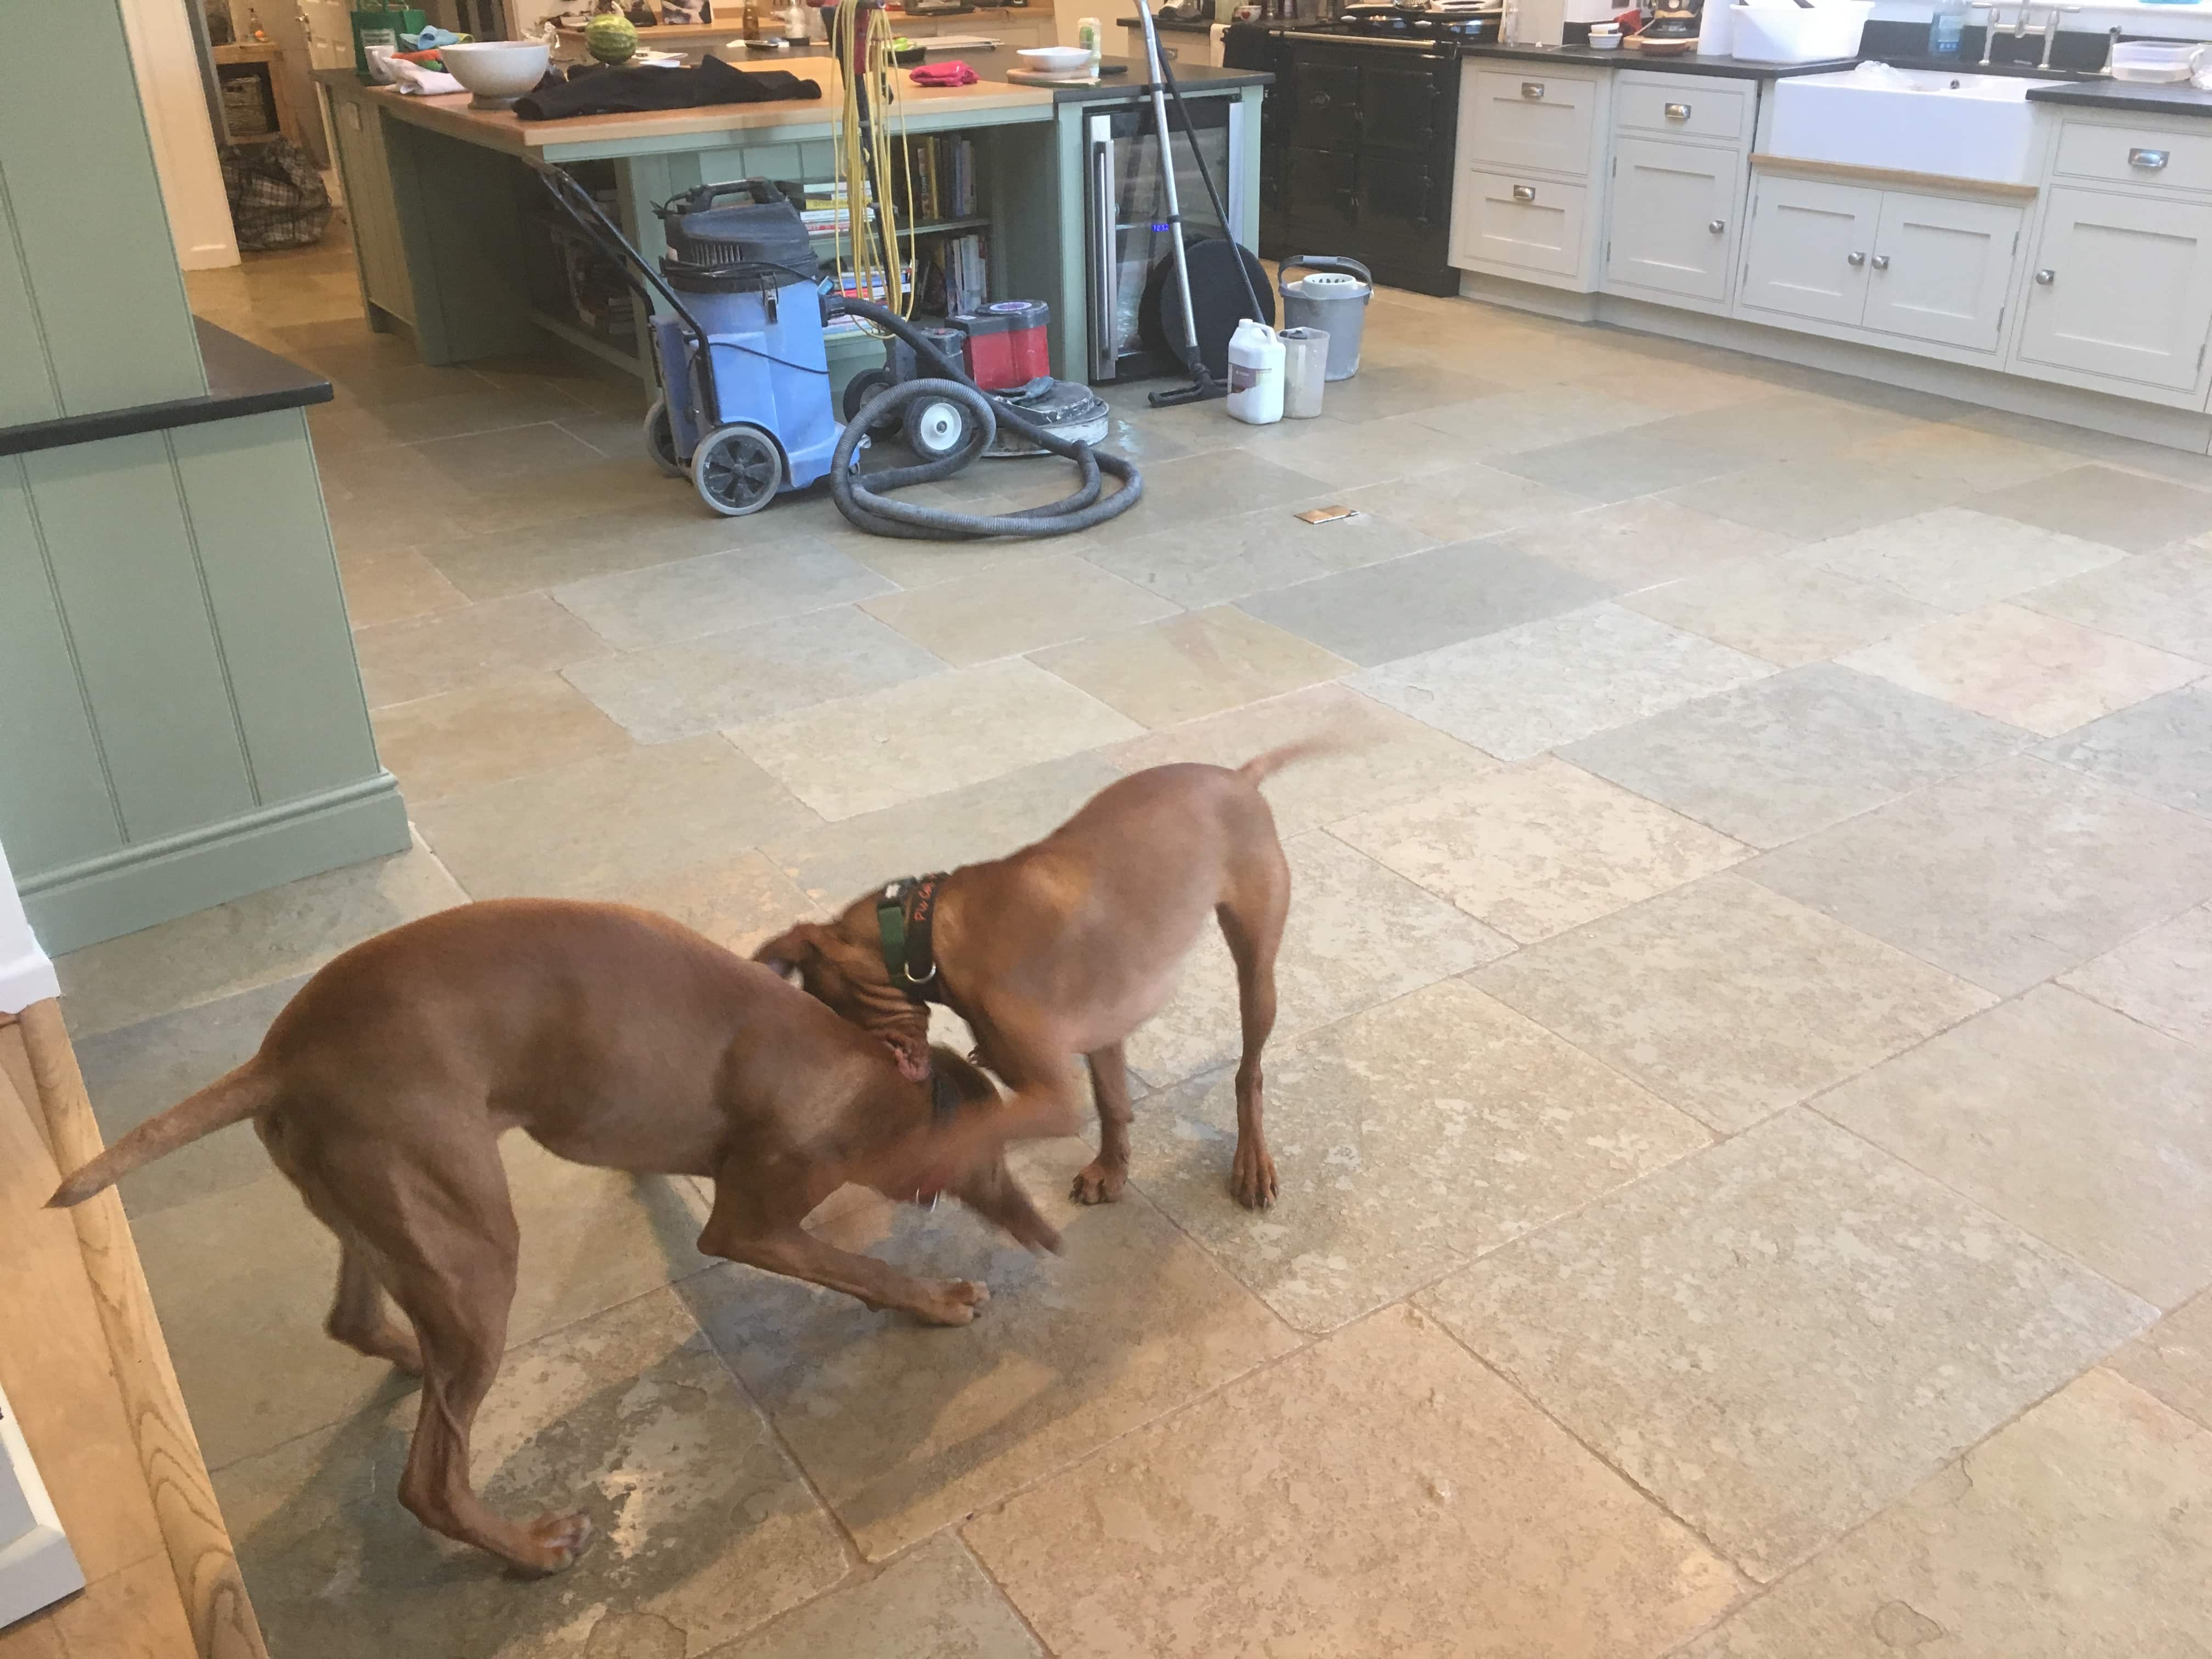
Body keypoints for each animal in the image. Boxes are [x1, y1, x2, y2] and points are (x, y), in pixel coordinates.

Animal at [752, 752, 1318, 1212]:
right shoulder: (1101, 1033)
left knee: (1250, 1072)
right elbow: (1113, 1104)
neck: (928, 933)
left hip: (1256, 973)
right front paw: (1111, 1170)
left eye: (830, 1004)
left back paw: (1252, 1161)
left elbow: (970, 1129)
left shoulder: (1052, 1098)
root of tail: (1239, 777)